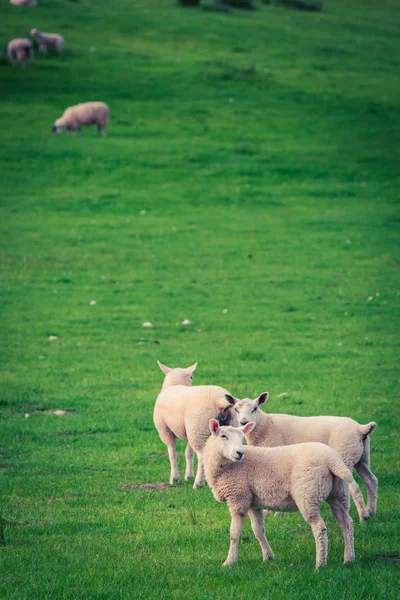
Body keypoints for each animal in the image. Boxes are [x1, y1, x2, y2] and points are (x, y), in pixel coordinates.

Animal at [153, 360, 238, 488]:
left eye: (191, 376)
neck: (174, 384)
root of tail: (219, 400)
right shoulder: (189, 431)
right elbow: (189, 453)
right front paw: (188, 476)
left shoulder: (165, 431)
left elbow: (172, 454)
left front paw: (174, 479)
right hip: (214, 429)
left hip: (199, 430)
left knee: (202, 456)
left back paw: (198, 484)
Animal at [205, 420, 354, 568]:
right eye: (223, 436)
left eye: (242, 438)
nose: (240, 453)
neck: (227, 467)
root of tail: (331, 457)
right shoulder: (252, 501)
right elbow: (258, 531)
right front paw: (268, 556)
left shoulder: (238, 498)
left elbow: (234, 534)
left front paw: (229, 562)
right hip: (338, 493)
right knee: (346, 523)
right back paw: (349, 559)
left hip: (308, 494)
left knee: (319, 528)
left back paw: (320, 564)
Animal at [233, 392, 376, 524]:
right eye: (236, 409)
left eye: (255, 408)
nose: (243, 422)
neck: (266, 426)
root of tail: (361, 428)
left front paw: (272, 513)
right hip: (361, 458)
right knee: (371, 480)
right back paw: (371, 511)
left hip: (345, 455)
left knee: (355, 487)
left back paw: (363, 517)